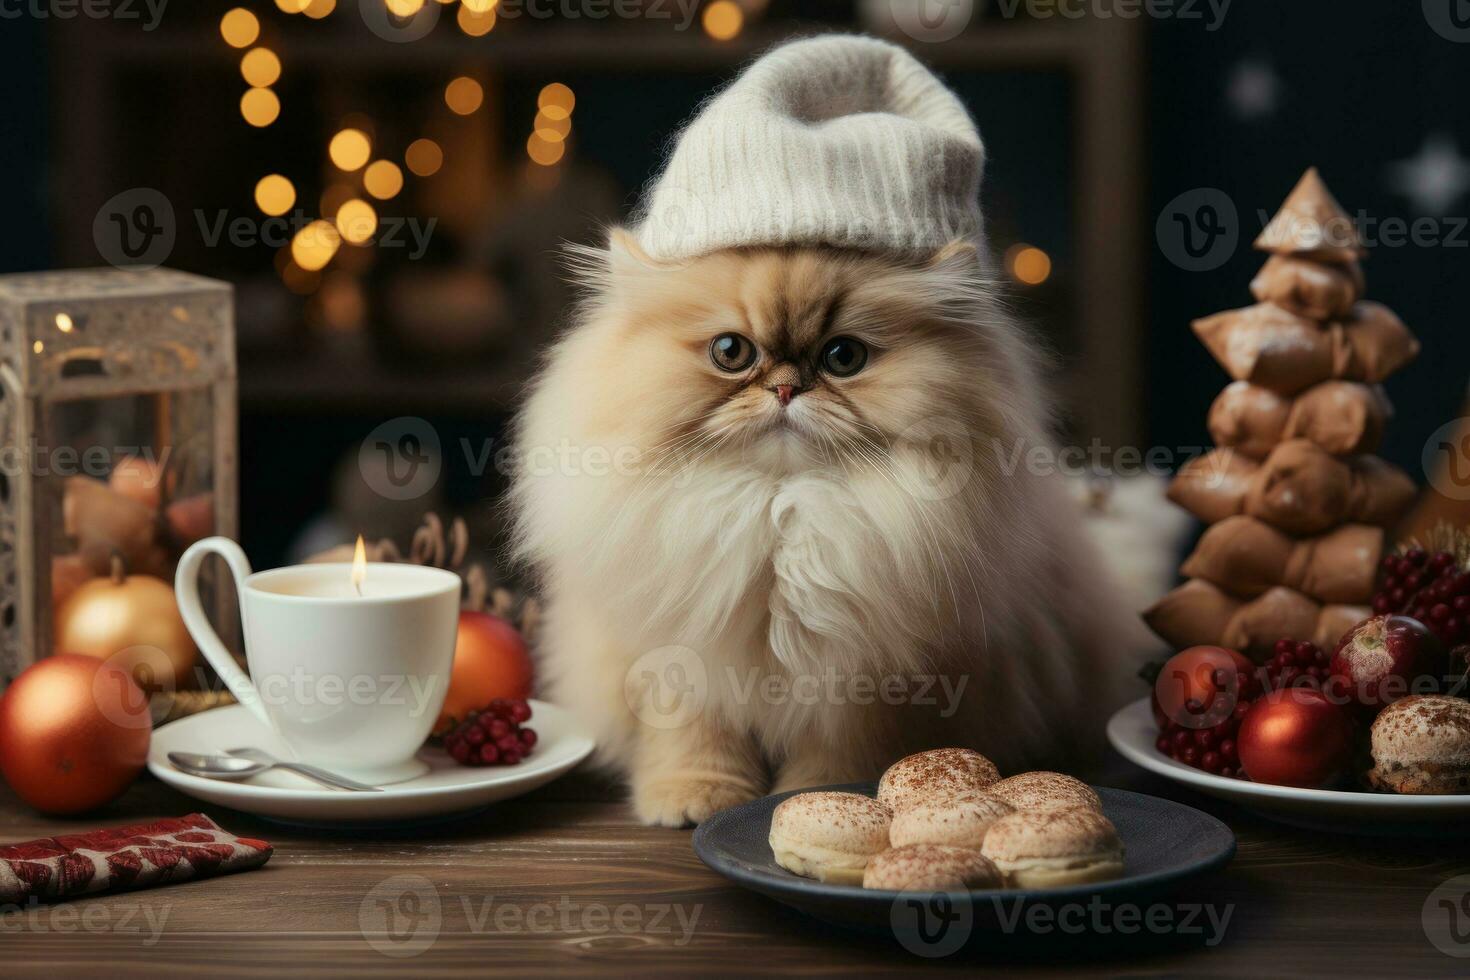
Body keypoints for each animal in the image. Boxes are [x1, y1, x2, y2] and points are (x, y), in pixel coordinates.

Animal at [511, 233, 1140, 822]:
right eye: (731, 352)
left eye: (843, 357)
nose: (787, 389)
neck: (780, 516)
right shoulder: (678, 651)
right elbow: (694, 735)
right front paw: (695, 796)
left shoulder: (870, 680)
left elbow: (838, 752)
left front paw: (819, 794)